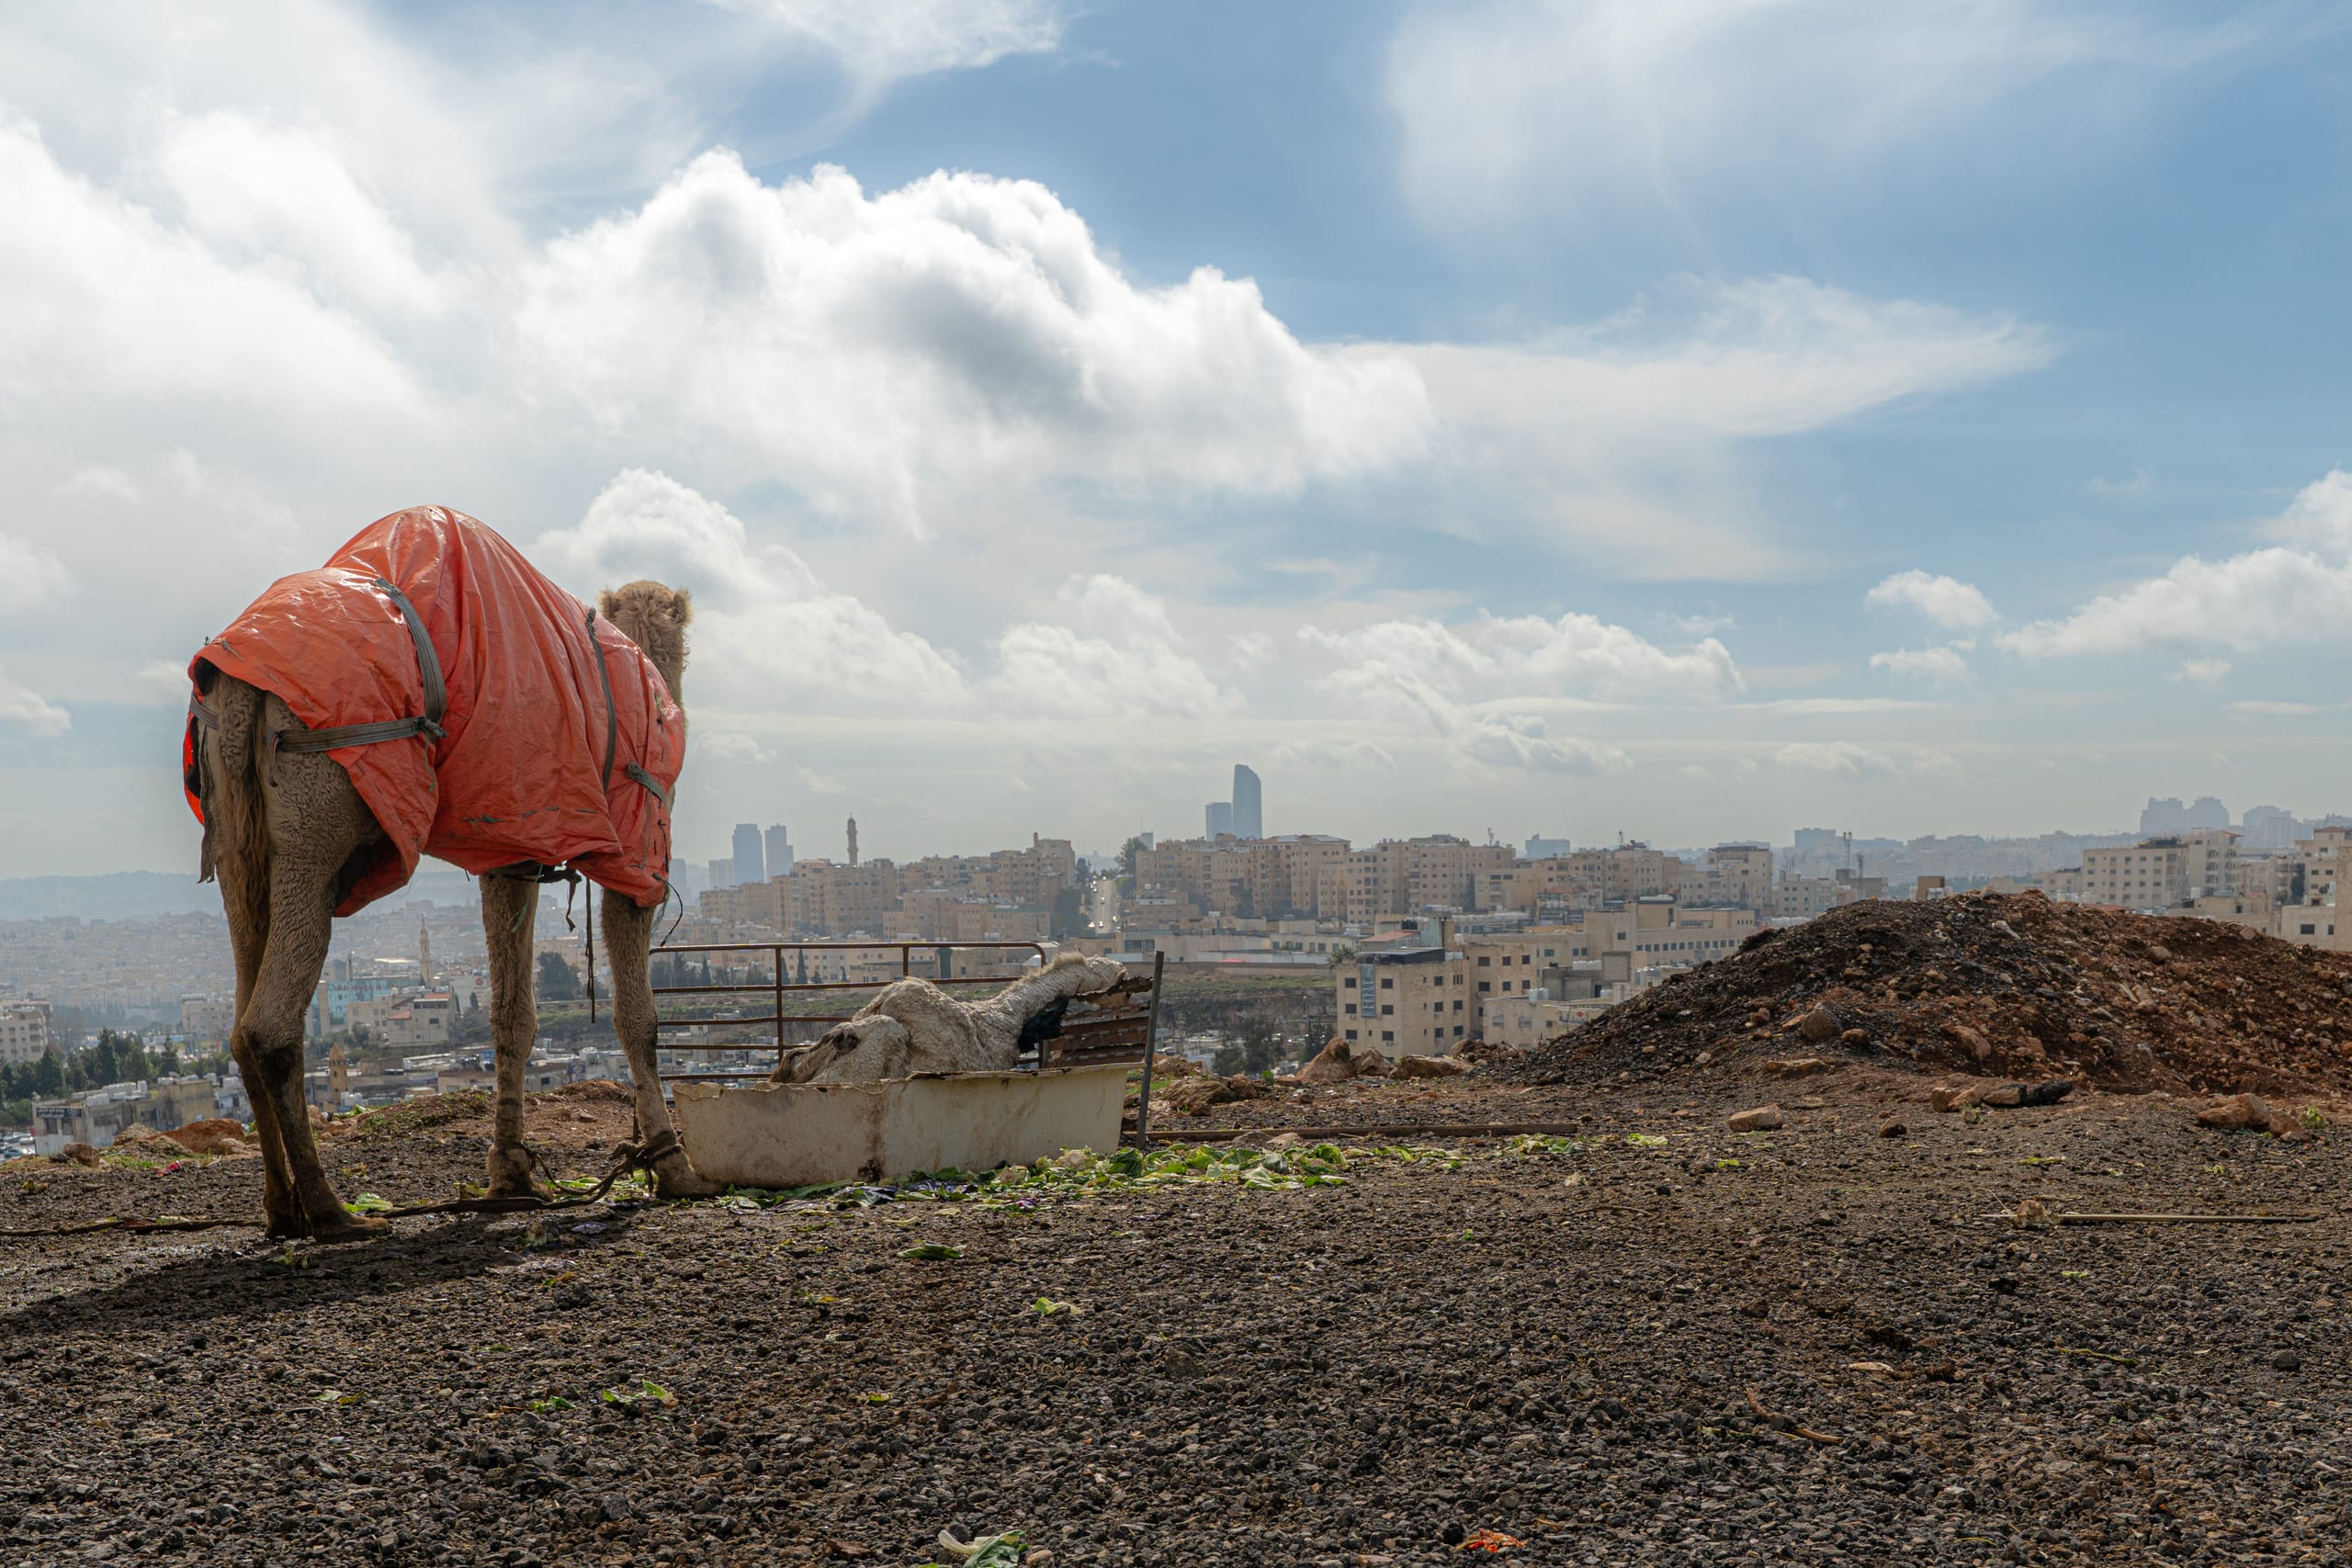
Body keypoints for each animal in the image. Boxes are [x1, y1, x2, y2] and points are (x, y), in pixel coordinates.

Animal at [191, 514, 719, 1241]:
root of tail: (240, 684)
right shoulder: (639, 845)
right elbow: (638, 1015)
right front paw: (674, 1168)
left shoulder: (511, 848)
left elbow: (511, 1013)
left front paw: (511, 1174)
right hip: (317, 802)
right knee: (268, 1023)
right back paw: (335, 1212)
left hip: (236, 830)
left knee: (241, 1006)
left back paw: (282, 1208)